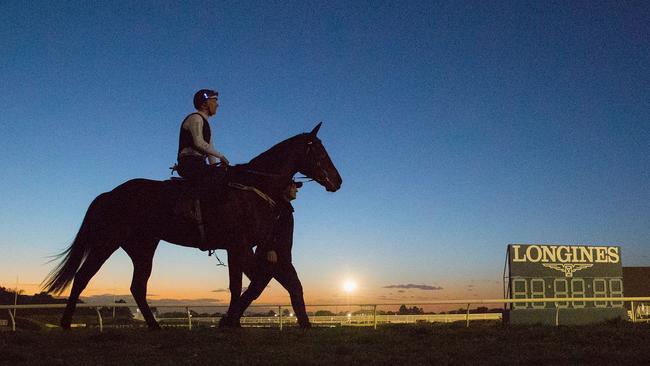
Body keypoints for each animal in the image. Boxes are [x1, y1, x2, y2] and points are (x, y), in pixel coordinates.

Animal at [42, 122, 342, 328]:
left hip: (143, 247)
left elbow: (241, 285)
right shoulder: (242, 246)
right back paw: (66, 323)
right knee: (83, 277)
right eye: (320, 151)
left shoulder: (239, 248)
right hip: (108, 241)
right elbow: (256, 282)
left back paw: (155, 326)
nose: (338, 181)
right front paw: (228, 320)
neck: (253, 186)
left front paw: (231, 321)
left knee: (138, 286)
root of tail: (110, 194)